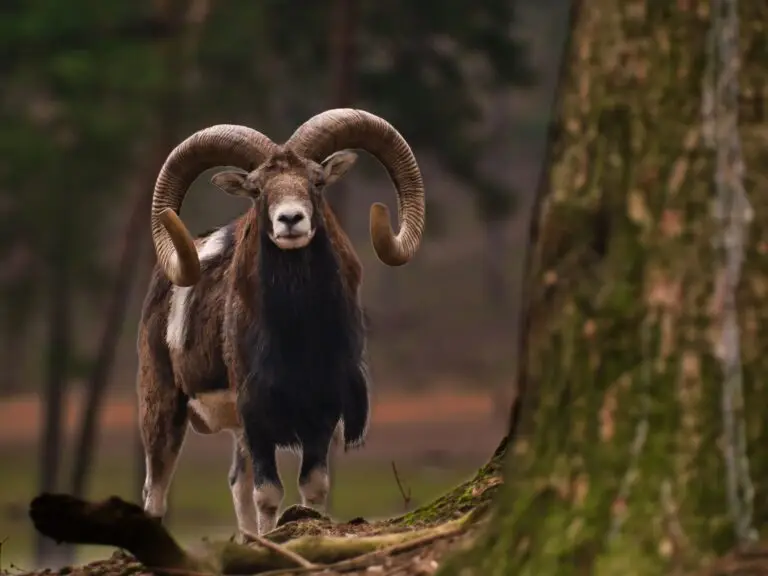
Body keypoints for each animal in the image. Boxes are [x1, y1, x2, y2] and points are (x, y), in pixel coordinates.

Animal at [137, 108, 426, 539]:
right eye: (257, 190)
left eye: (316, 182)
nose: (291, 220)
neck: (298, 336)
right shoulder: (257, 417)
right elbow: (268, 494)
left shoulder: (322, 415)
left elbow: (312, 487)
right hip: (162, 408)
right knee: (156, 491)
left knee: (236, 484)